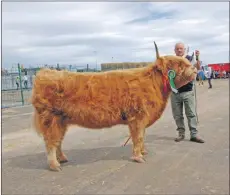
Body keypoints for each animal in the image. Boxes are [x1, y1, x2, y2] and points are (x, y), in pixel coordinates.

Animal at [31, 42, 198, 171]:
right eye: (180, 64)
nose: (195, 69)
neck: (153, 84)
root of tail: (44, 73)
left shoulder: (142, 118)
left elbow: (142, 136)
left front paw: (143, 152)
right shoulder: (137, 118)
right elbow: (138, 137)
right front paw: (138, 156)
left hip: (61, 121)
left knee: (58, 141)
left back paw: (62, 158)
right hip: (51, 120)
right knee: (51, 142)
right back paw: (54, 165)